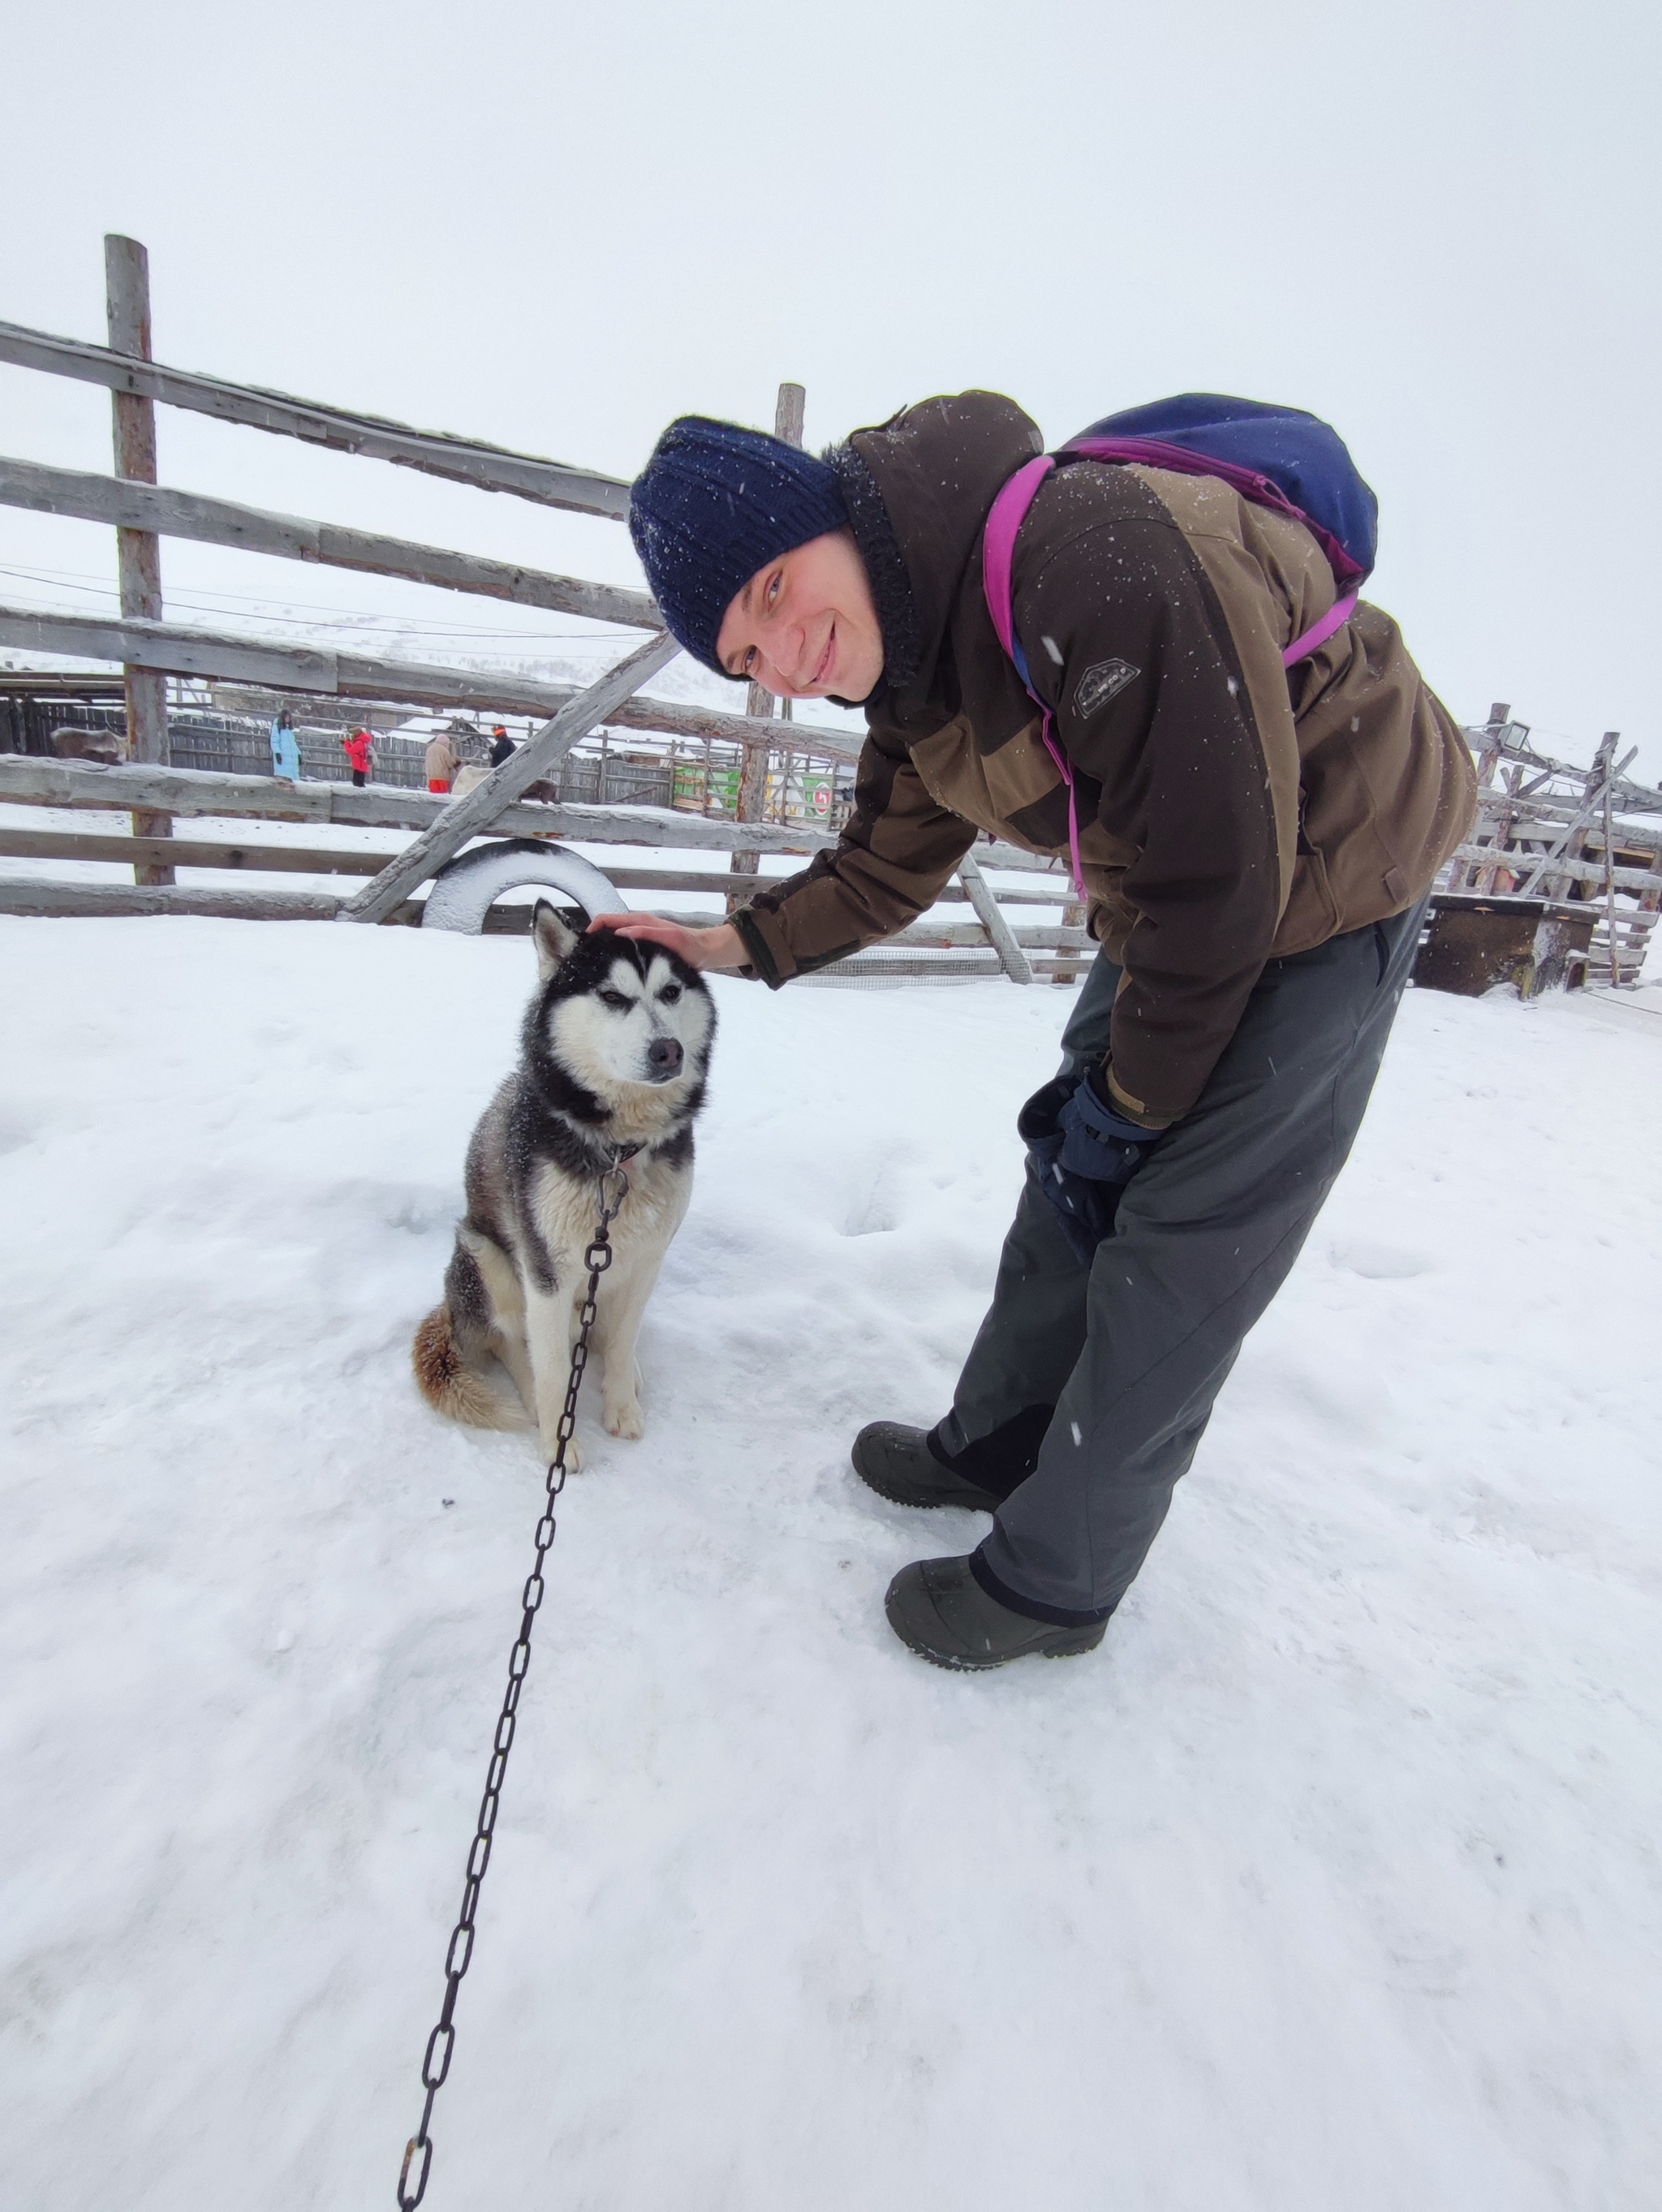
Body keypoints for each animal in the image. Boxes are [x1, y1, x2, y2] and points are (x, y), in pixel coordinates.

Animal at [416, 902, 717, 1469]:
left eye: (671, 992)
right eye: (612, 997)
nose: (669, 1051)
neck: (620, 1148)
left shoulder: (648, 1258)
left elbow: (622, 1342)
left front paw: (621, 1407)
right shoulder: (546, 1272)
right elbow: (554, 1367)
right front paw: (559, 1441)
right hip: (485, 1257)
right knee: (513, 1341)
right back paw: (533, 1398)